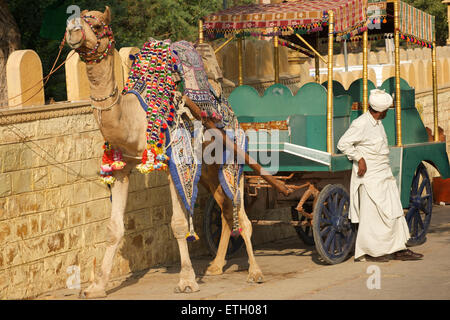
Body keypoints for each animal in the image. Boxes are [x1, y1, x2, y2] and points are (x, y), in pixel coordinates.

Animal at [66, 6, 264, 298]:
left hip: (232, 156)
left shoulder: (174, 162)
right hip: (207, 169)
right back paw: (216, 266)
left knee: (240, 210)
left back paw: (255, 272)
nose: (73, 31)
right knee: (227, 209)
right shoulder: (123, 167)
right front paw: (96, 287)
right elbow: (114, 228)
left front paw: (187, 280)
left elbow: (179, 224)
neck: (134, 116)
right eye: (69, 22)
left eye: (99, 25)